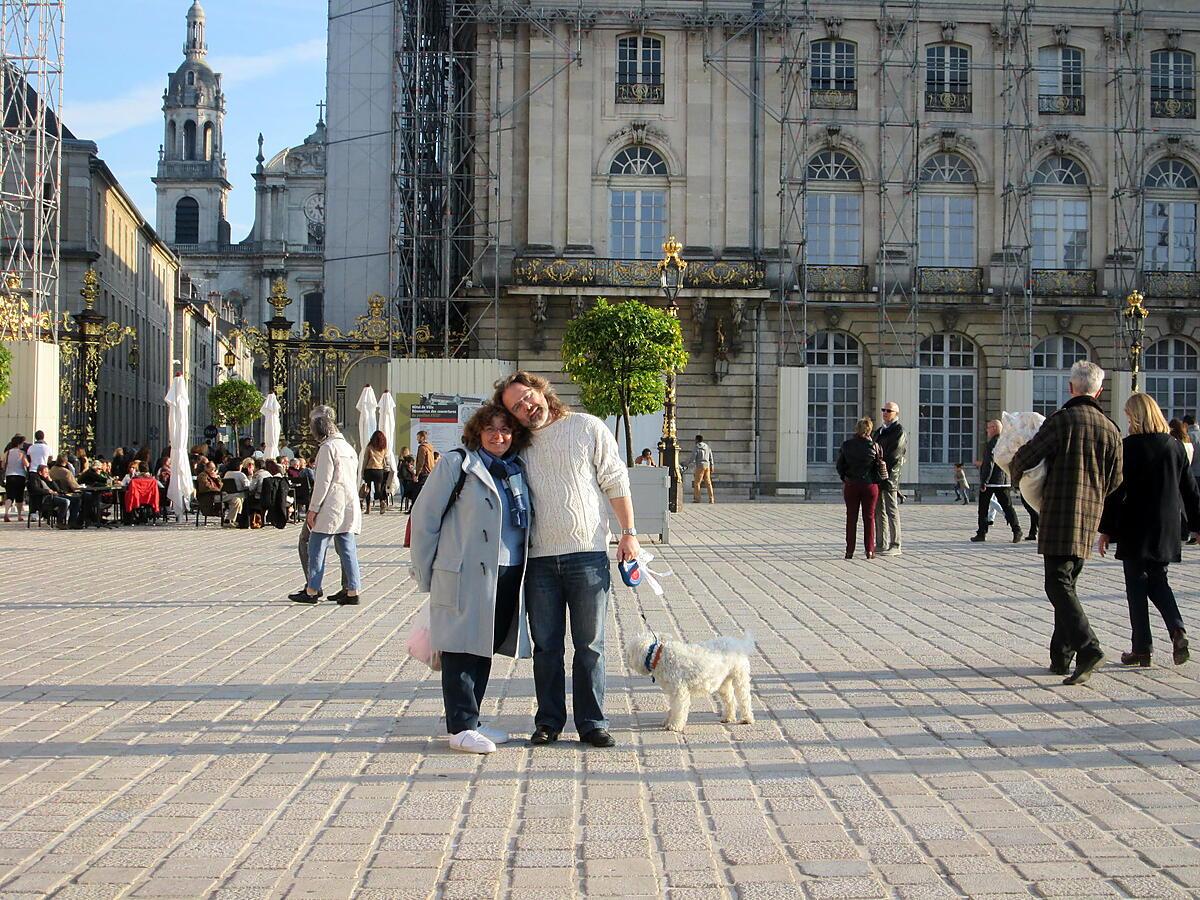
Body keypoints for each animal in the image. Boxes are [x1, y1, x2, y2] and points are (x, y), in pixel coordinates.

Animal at [624, 633, 753, 734]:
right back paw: (728, 717)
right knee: (730, 700)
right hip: (723, 682)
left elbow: (678, 709)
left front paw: (674, 725)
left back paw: (747, 719)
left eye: (629, 653)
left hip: (740, 678)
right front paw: (668, 721)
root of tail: (739, 643)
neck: (659, 656)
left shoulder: (679, 692)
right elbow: (672, 709)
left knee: (744, 699)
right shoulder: (673, 692)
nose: (626, 660)